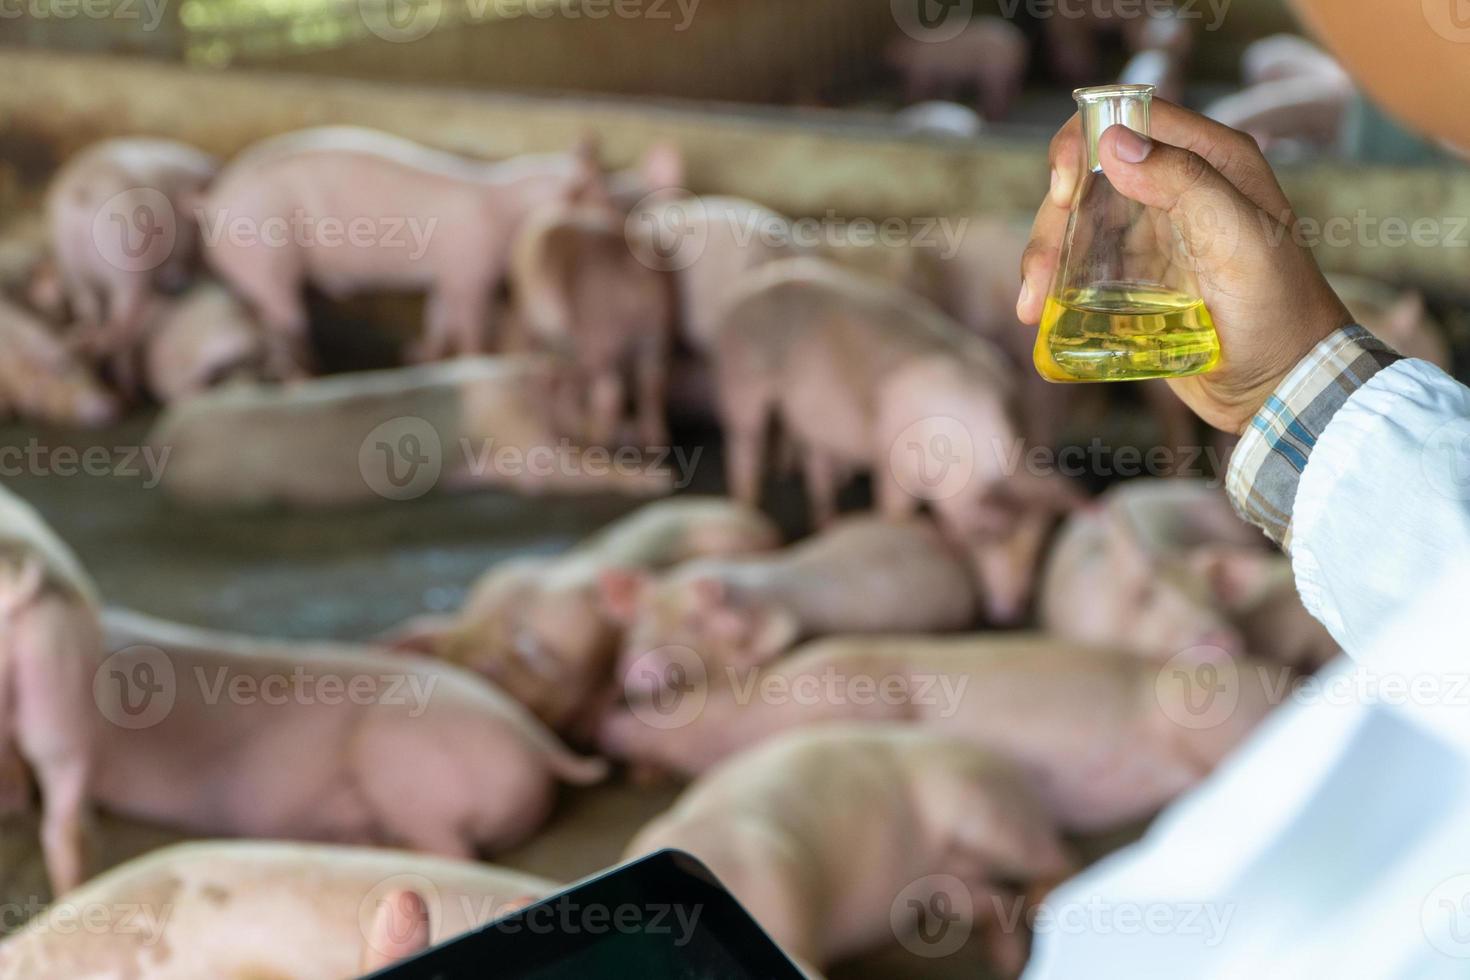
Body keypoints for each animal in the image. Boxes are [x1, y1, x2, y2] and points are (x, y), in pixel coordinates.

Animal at [623, 725, 1070, 975]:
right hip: (945, 890)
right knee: (991, 901)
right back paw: (1007, 960)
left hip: (980, 805)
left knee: (1056, 855)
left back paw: (1043, 902)